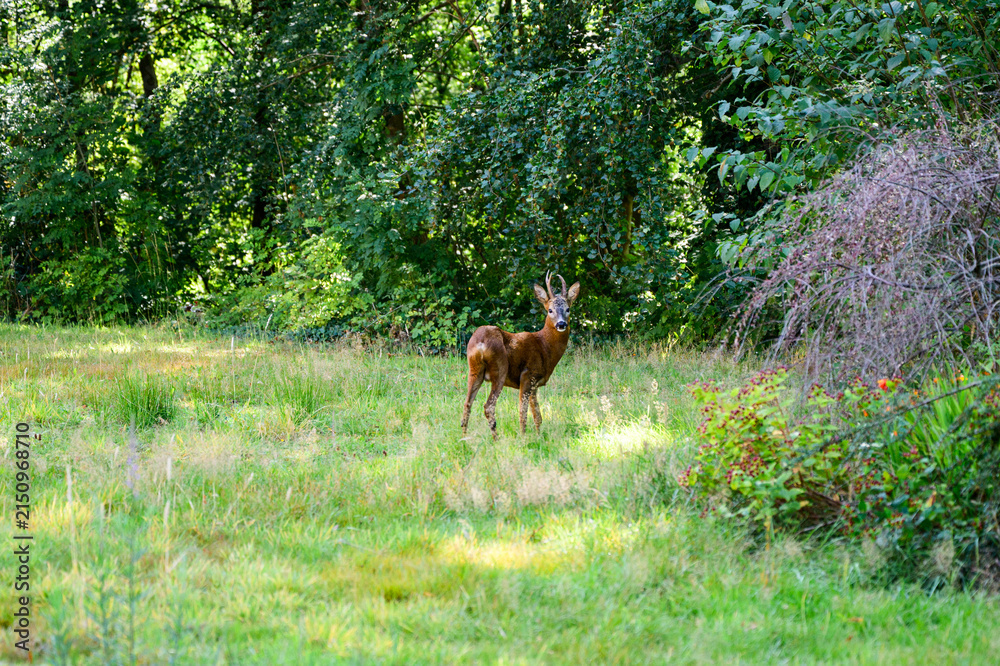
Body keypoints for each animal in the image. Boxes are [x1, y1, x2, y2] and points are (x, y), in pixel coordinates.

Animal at [461, 272, 581, 439]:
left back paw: (464, 437)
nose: (561, 324)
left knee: (467, 403)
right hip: (500, 368)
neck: (545, 346)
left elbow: (537, 414)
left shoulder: (535, 383)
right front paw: (524, 437)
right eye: (550, 310)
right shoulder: (528, 374)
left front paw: (538, 435)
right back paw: (496, 439)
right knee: (489, 406)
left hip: (474, 369)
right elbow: (523, 412)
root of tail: (480, 342)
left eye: (568, 309)